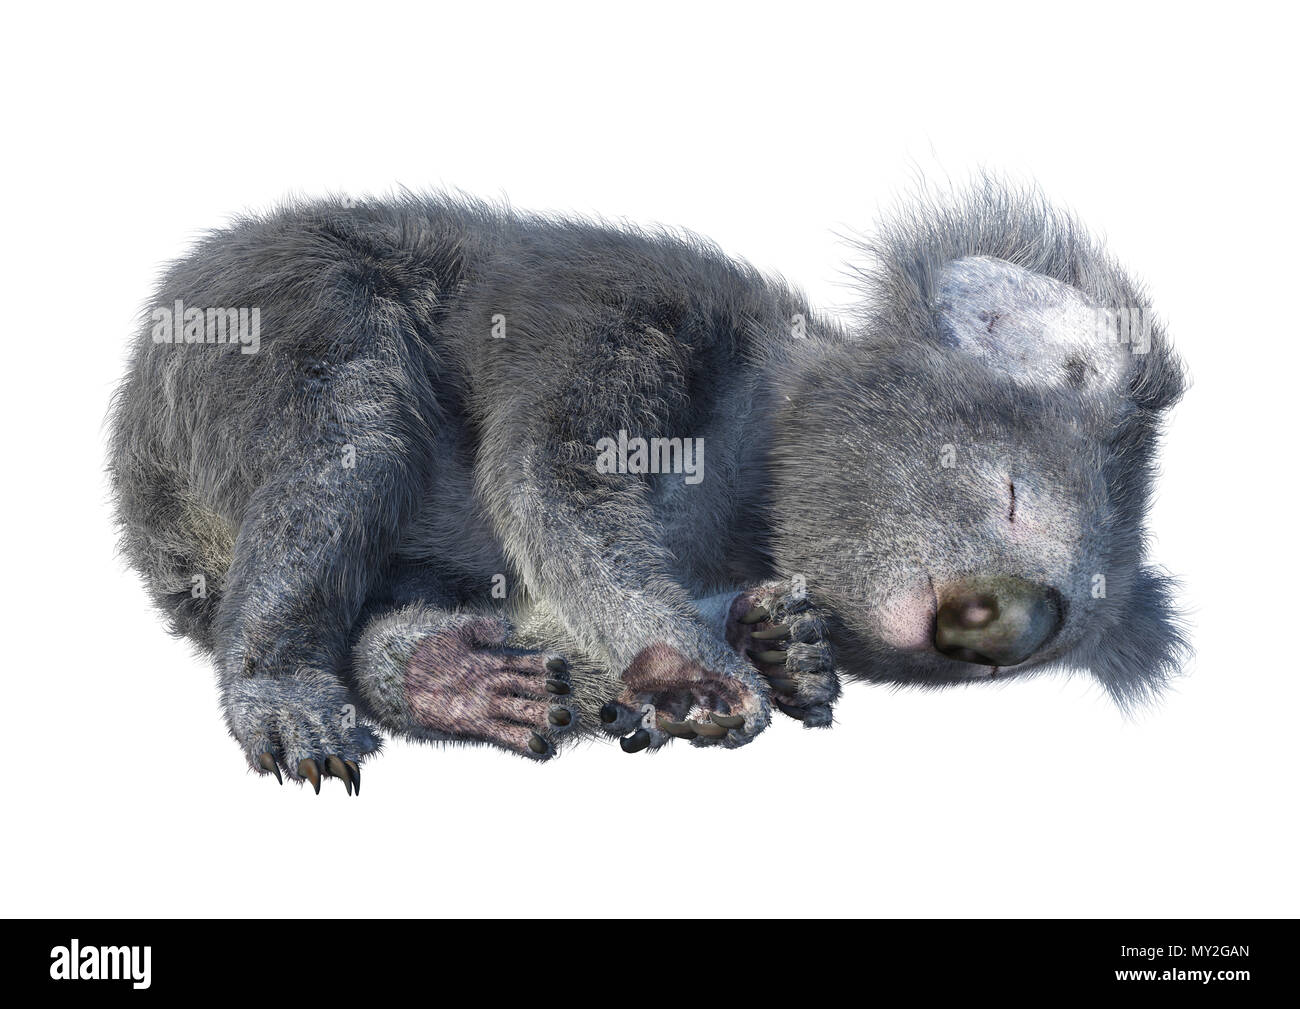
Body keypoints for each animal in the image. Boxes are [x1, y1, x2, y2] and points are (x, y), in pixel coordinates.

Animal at [107, 176, 1187, 793]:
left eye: (1042, 651)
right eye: (1010, 495)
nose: (1011, 622)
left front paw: (770, 649)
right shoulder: (631, 317)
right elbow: (547, 481)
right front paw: (713, 667)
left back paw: (457, 677)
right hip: (277, 326)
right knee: (345, 448)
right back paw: (286, 694)